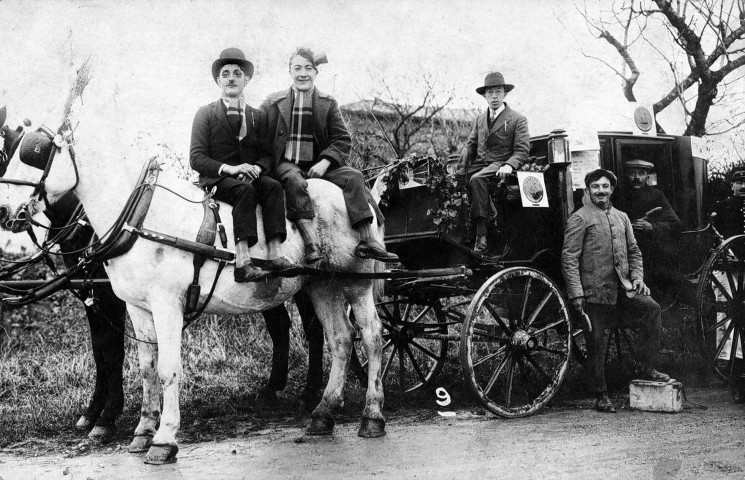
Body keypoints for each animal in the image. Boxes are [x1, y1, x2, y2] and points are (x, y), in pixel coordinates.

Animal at [0, 71, 384, 464]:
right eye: (9, 157)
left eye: (37, 154)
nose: (5, 212)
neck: (141, 216)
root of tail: (362, 194)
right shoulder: (136, 307)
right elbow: (145, 368)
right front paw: (142, 431)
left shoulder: (165, 305)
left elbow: (168, 369)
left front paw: (163, 438)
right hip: (321, 284)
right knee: (340, 338)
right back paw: (323, 412)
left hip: (357, 280)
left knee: (371, 336)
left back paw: (371, 415)